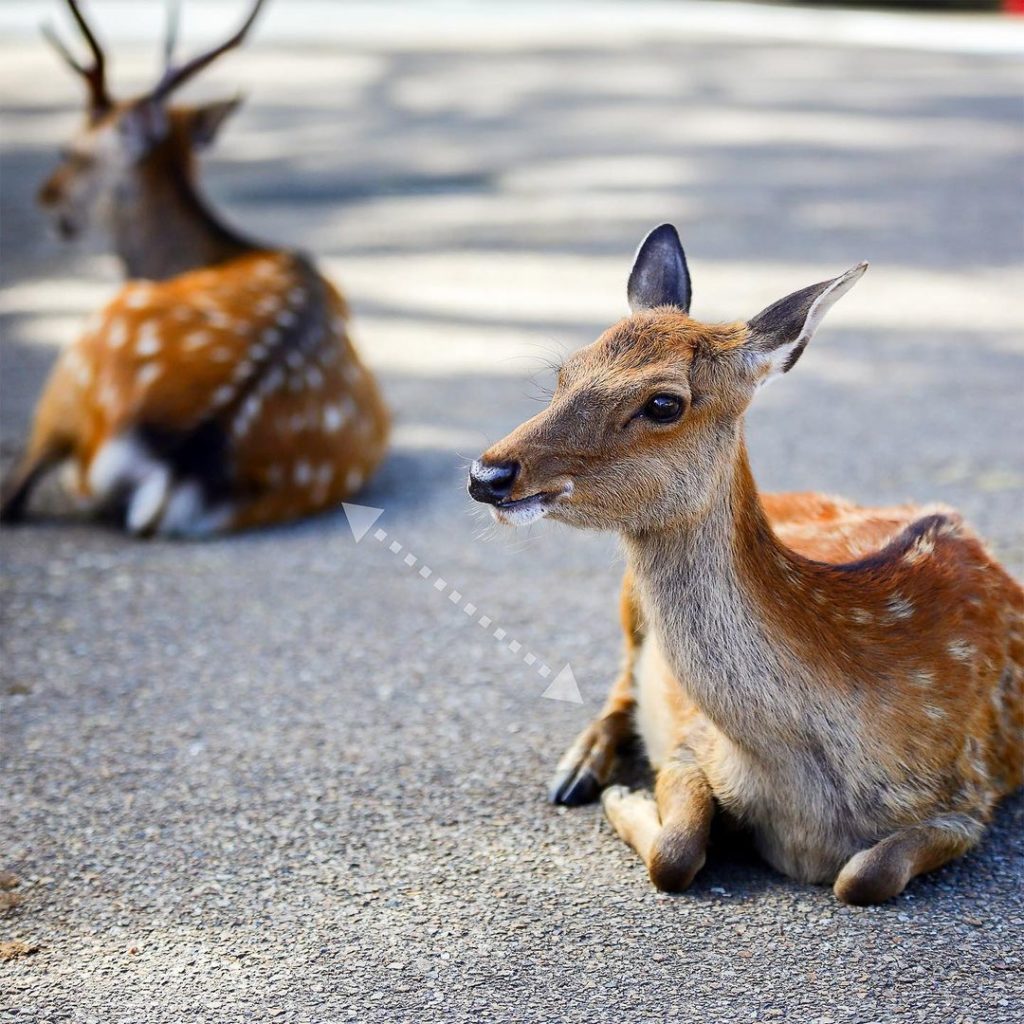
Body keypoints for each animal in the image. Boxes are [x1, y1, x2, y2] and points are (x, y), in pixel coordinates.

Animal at [471, 224, 1024, 905]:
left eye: (663, 402)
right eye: (564, 373)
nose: (487, 474)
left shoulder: (970, 795)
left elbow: (865, 875)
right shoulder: (693, 745)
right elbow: (676, 852)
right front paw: (624, 796)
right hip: (627, 600)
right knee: (623, 677)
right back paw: (576, 771)